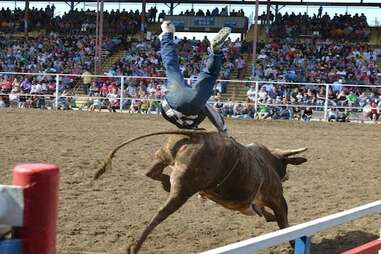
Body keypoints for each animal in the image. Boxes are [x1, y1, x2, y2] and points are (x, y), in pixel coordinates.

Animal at [93, 130, 308, 253]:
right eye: (285, 166)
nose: (286, 176)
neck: (267, 162)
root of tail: (198, 135)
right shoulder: (277, 199)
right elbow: (283, 222)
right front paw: (292, 241)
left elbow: (265, 214)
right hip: (183, 189)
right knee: (161, 213)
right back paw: (135, 246)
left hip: (164, 155)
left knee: (152, 173)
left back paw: (165, 183)